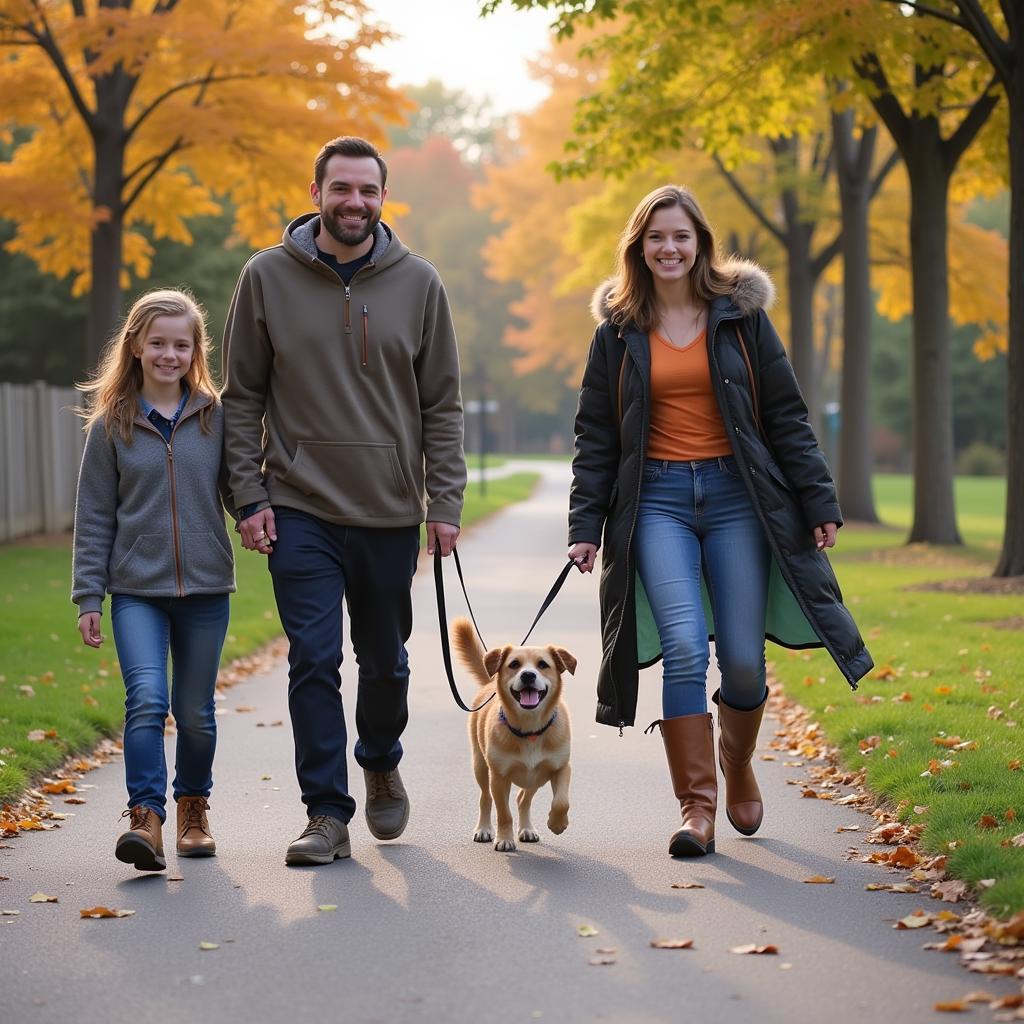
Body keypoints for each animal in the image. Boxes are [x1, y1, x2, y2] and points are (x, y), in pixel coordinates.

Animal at [450, 614, 577, 856]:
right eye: (514, 664)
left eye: (543, 664)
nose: (527, 675)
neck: (530, 730)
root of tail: (489, 683)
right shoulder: (499, 777)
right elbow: (503, 813)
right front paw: (504, 839)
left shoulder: (561, 768)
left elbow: (561, 801)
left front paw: (557, 823)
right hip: (481, 767)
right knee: (485, 798)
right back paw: (484, 828)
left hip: (536, 777)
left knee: (522, 799)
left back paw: (527, 828)